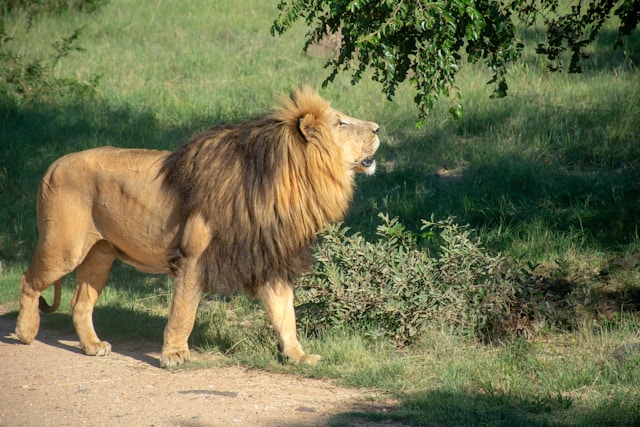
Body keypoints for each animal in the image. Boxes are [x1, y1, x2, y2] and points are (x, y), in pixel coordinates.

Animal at [15, 86, 380, 368]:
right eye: (341, 122)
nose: (378, 128)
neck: (287, 183)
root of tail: (54, 164)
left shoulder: (266, 258)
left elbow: (285, 315)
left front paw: (298, 357)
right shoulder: (194, 257)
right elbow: (184, 310)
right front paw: (174, 355)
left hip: (100, 254)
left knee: (80, 303)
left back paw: (92, 347)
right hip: (64, 247)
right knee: (28, 280)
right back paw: (26, 333)